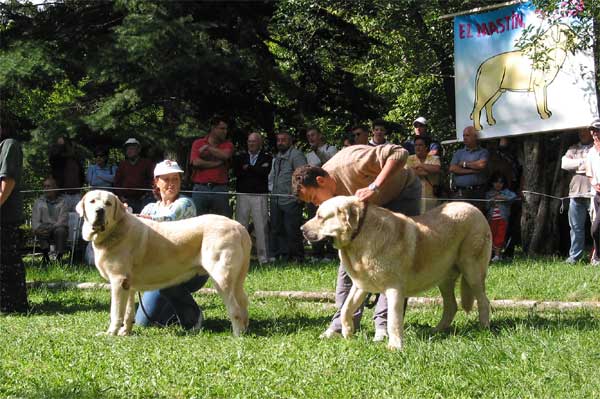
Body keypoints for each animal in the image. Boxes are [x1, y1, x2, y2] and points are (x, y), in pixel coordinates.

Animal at [77, 191, 251, 338]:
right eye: (92, 201)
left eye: (108, 203)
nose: (99, 211)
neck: (114, 230)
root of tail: (238, 226)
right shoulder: (128, 285)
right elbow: (128, 312)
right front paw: (125, 333)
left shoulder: (118, 281)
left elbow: (116, 312)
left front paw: (110, 334)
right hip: (236, 279)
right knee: (243, 301)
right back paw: (244, 329)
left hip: (221, 278)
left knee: (234, 308)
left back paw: (237, 335)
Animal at [302, 197, 490, 350]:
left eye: (320, 217)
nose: (301, 228)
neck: (360, 236)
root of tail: (474, 208)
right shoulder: (360, 286)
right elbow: (346, 309)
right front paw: (348, 333)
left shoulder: (394, 289)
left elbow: (393, 318)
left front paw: (395, 345)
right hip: (443, 278)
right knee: (451, 305)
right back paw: (436, 330)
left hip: (472, 270)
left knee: (483, 301)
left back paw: (484, 328)